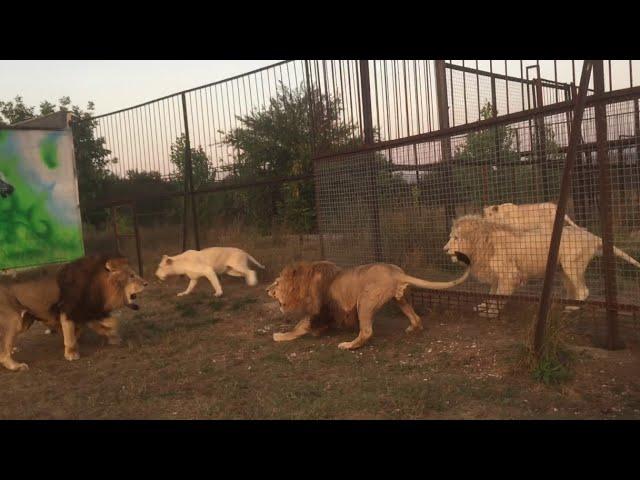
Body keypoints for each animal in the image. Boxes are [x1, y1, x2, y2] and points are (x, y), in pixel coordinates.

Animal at [264, 260, 470, 350]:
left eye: (276, 283)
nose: (266, 289)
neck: (303, 284)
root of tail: (397, 273)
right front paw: (319, 332)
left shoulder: (320, 309)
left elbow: (301, 326)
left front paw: (280, 336)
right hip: (399, 299)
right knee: (416, 317)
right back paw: (413, 328)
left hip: (364, 301)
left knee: (367, 332)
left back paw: (348, 345)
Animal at [442, 216, 640, 316]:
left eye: (455, 238)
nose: (444, 249)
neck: (481, 244)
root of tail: (592, 236)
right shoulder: (496, 276)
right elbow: (492, 294)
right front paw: (484, 307)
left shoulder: (509, 274)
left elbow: (499, 296)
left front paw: (492, 312)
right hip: (563, 270)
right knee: (574, 290)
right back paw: (568, 305)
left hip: (572, 266)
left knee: (584, 291)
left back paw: (573, 308)